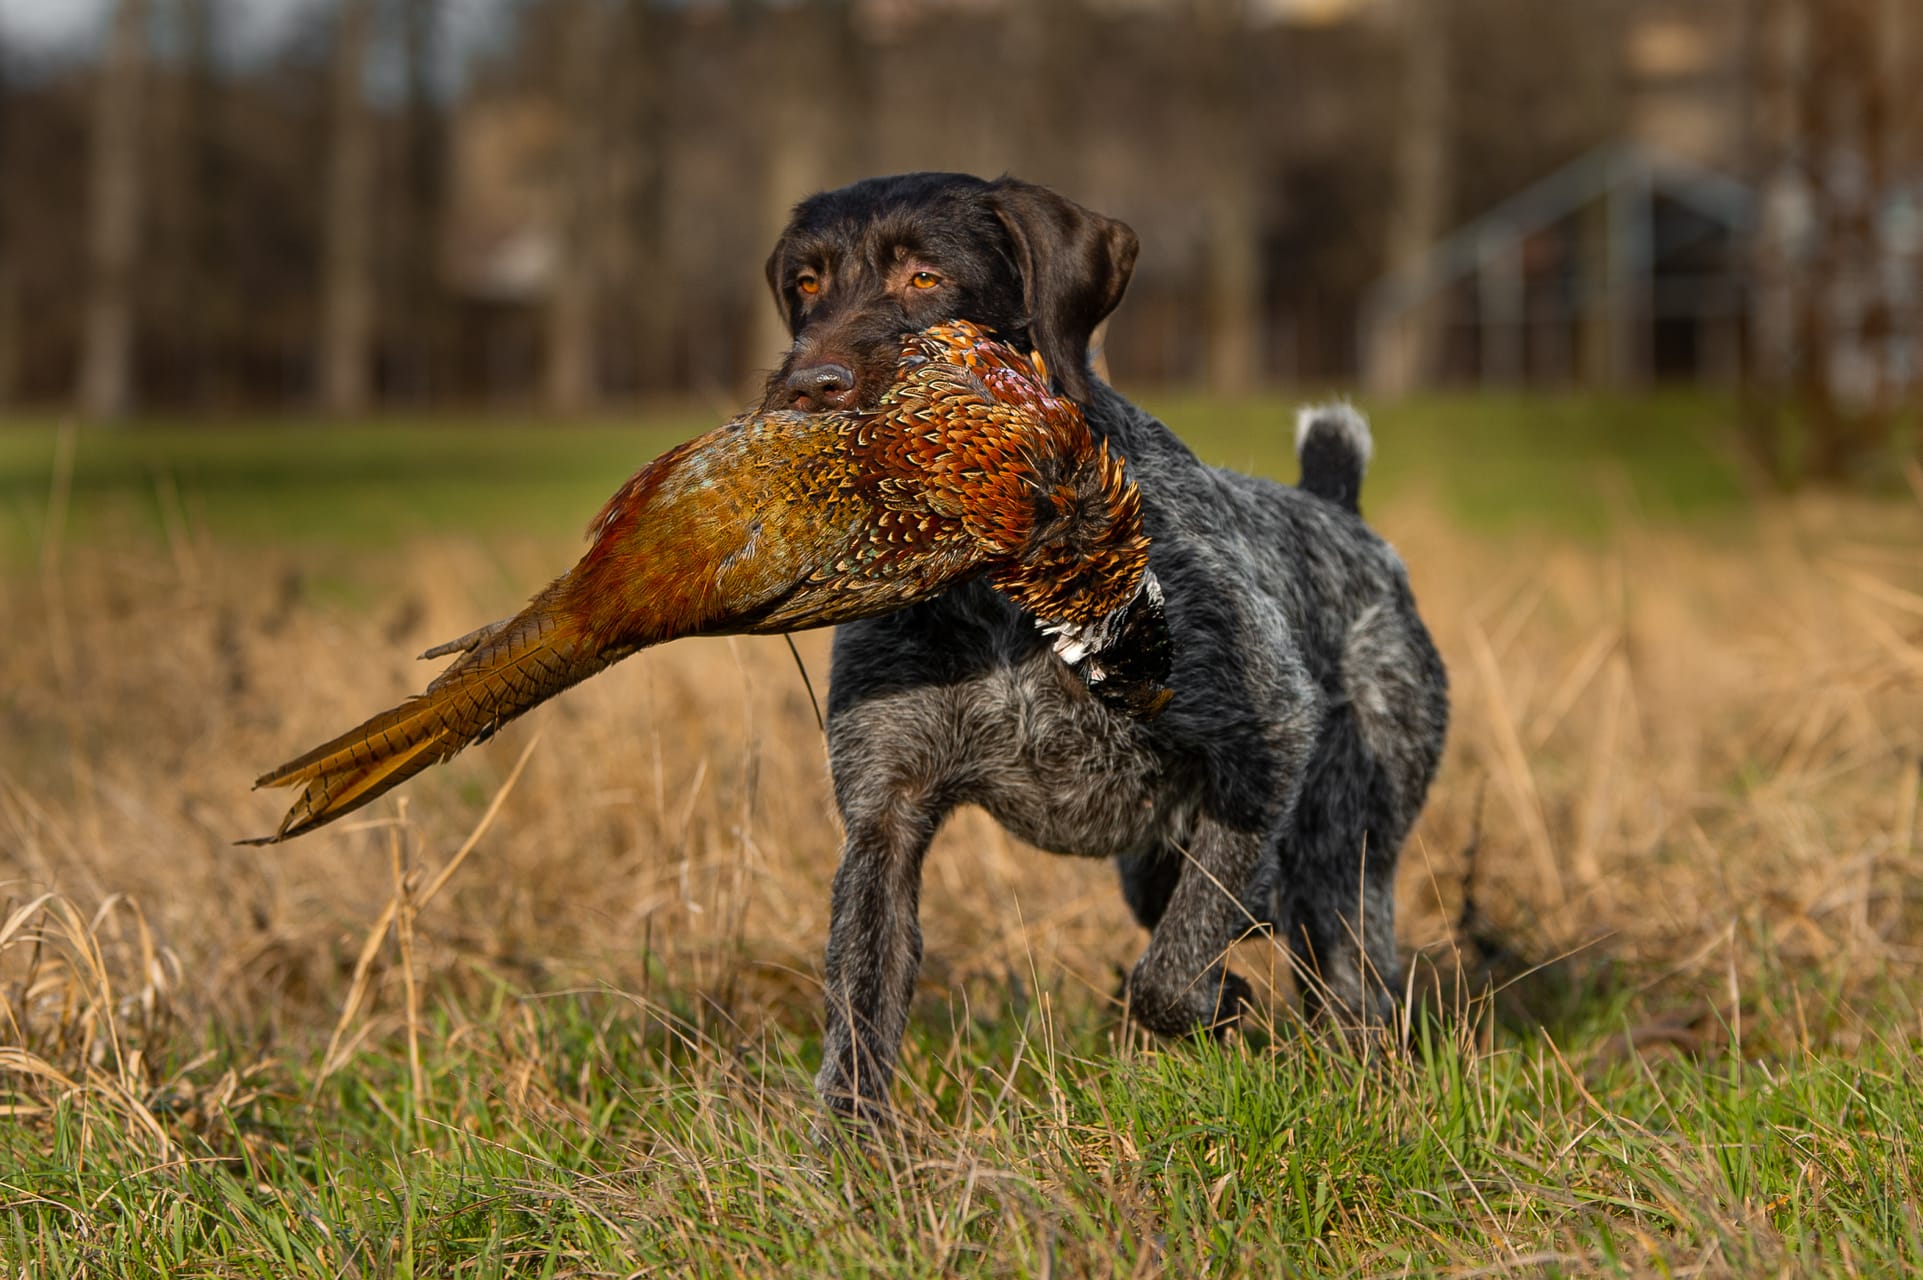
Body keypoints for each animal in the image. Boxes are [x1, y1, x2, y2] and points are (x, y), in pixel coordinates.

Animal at [757, 172, 1446, 1114]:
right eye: (806, 284)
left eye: (925, 278)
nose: (809, 385)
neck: (993, 595)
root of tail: (1340, 511)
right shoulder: (883, 817)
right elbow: (858, 1023)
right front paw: (853, 1153)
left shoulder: (1267, 737)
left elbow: (1173, 969)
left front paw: (1210, 999)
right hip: (1153, 863)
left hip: (1342, 848)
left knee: (1347, 977)